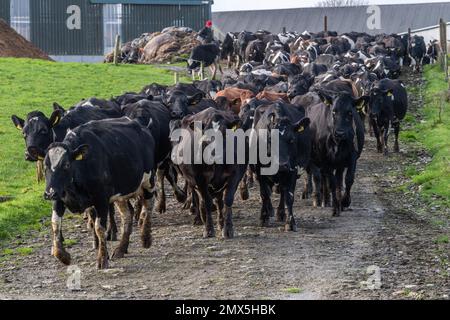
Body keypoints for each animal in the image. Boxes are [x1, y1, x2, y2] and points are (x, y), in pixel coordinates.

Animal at [44, 117, 156, 268]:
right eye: (45, 165)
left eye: (66, 165)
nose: (49, 193)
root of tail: (144, 128)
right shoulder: (59, 198)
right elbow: (55, 224)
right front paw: (62, 256)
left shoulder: (101, 199)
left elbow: (99, 228)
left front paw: (102, 259)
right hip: (120, 195)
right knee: (127, 216)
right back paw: (121, 248)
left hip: (148, 181)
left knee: (148, 205)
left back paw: (145, 238)